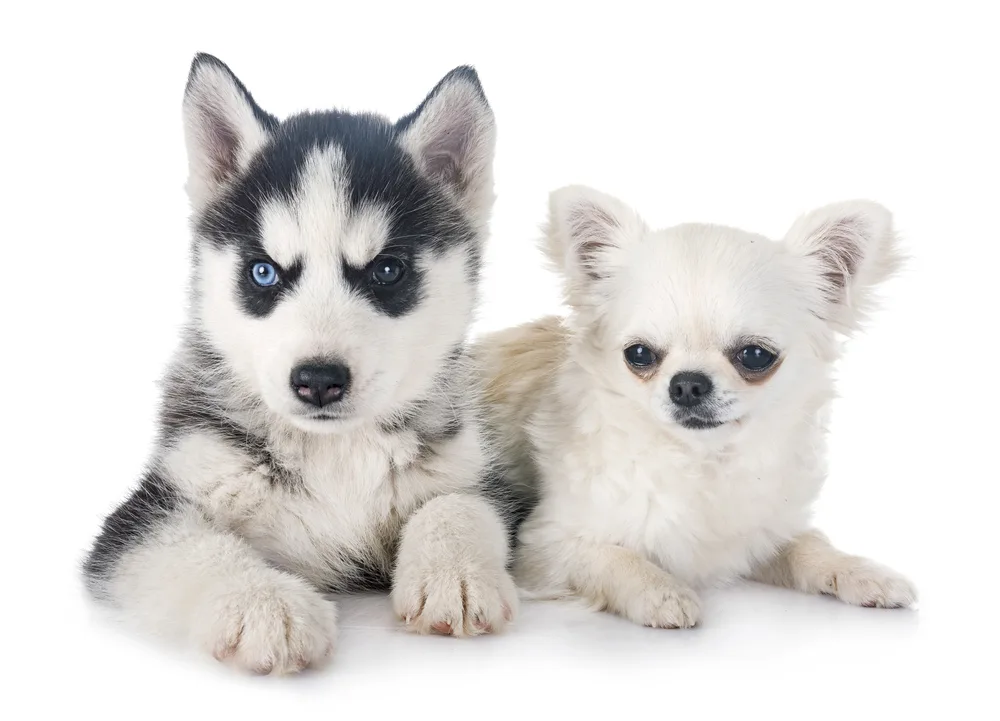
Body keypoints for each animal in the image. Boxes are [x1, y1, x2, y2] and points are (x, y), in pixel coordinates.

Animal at [84, 54, 524, 668]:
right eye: (264, 272)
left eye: (387, 270)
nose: (318, 380)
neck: (335, 450)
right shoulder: (141, 517)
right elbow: (191, 546)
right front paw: (265, 604)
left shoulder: (483, 476)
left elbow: (459, 504)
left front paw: (454, 572)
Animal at [476, 187, 916, 632]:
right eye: (639, 354)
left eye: (755, 355)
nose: (687, 383)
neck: (701, 461)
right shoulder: (543, 546)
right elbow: (609, 556)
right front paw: (660, 591)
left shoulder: (761, 534)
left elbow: (808, 545)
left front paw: (859, 570)